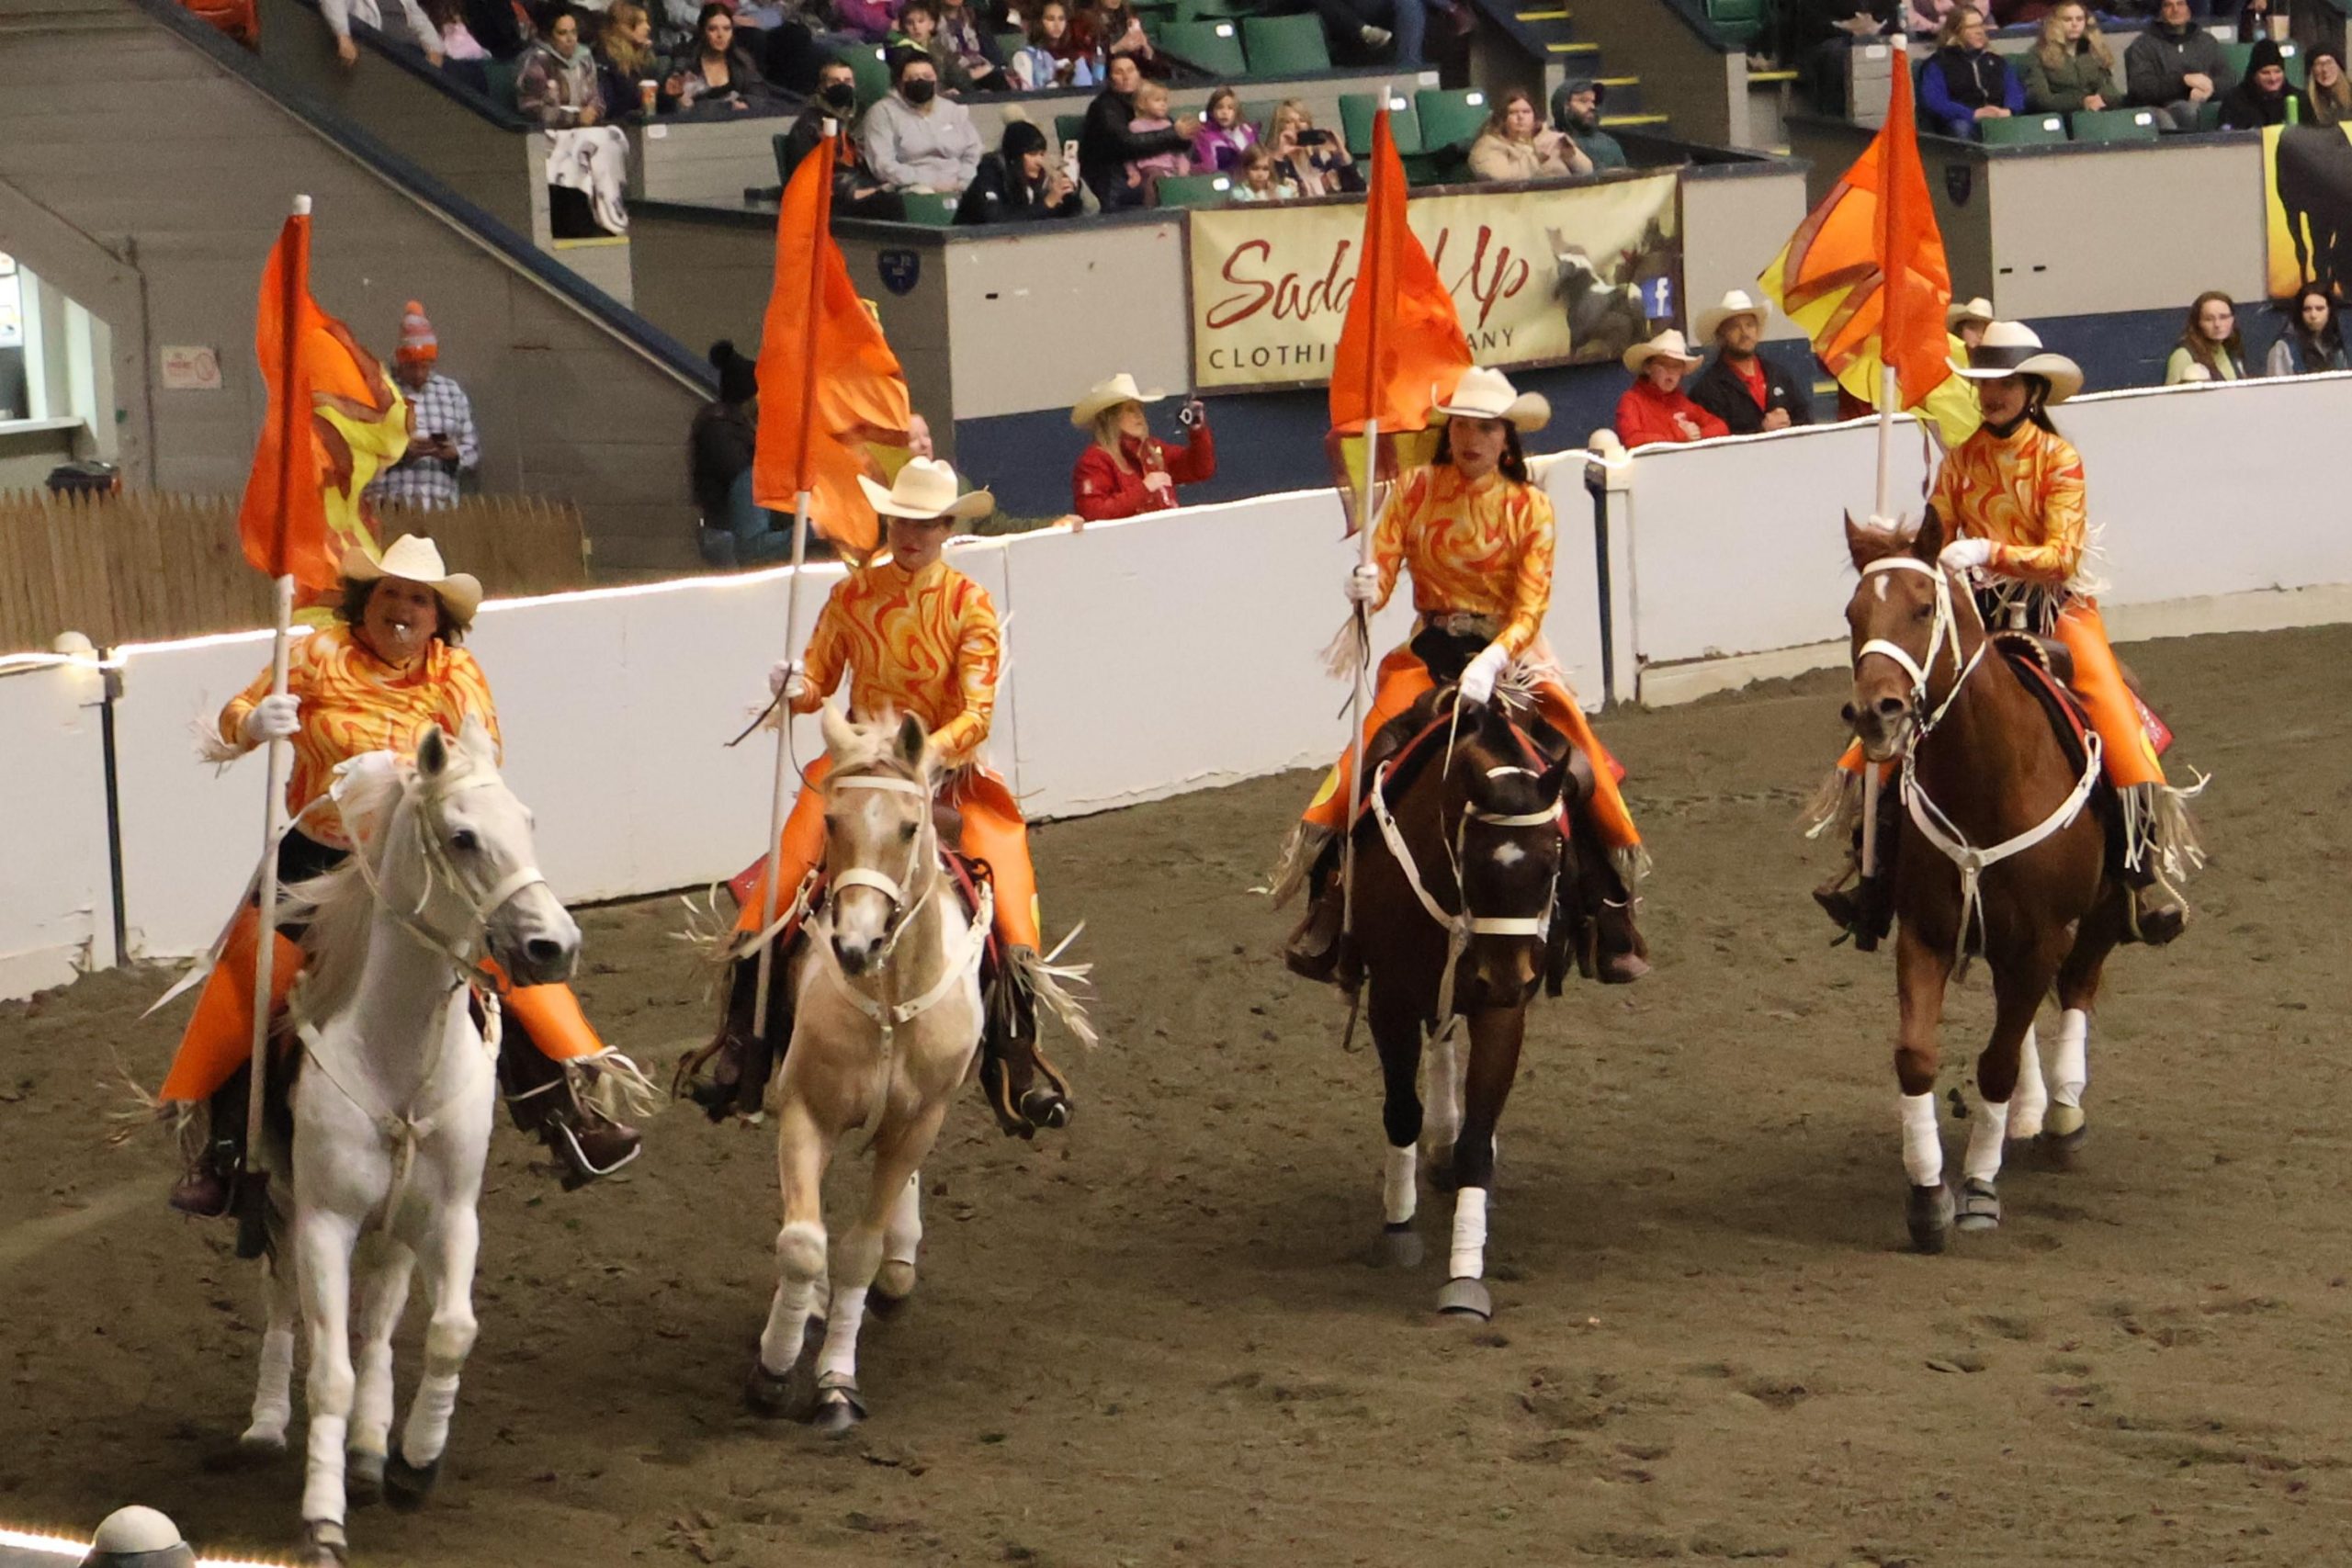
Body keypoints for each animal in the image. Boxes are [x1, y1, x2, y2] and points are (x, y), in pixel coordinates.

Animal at [234, 719, 579, 1566]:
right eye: (462, 836)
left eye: (527, 821)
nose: (555, 945)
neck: (400, 1057)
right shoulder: (323, 1222)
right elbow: (327, 1371)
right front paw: (322, 1519)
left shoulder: (453, 1213)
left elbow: (450, 1332)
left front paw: (413, 1462)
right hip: (278, 1205)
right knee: (282, 1303)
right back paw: (267, 1423)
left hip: (396, 1222)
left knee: (382, 1317)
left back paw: (367, 1446)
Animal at [743, 705, 994, 1434]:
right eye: (832, 822)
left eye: (908, 828)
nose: (854, 944)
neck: (887, 999)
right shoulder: (807, 1109)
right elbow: (803, 1242)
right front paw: (776, 1362)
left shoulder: (920, 1120)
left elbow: (860, 1247)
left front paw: (835, 1382)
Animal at [1341, 681, 1589, 1321]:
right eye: (1476, 863)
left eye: (1553, 861)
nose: (1502, 979)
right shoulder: (1392, 998)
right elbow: (1401, 1110)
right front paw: (1398, 1228)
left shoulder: (1503, 1008)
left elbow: (1479, 1138)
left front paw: (1464, 1276)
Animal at [1839, 514, 2128, 1254]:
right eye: (1853, 613)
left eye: (1922, 607)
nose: (1876, 712)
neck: (1990, 775)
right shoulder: (1926, 932)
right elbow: (1917, 1055)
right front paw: (1926, 1195)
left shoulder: (2042, 937)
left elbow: (1995, 1061)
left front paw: (1977, 1189)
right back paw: (2029, 1112)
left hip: (2102, 911)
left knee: (2078, 982)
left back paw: (2062, 1111)